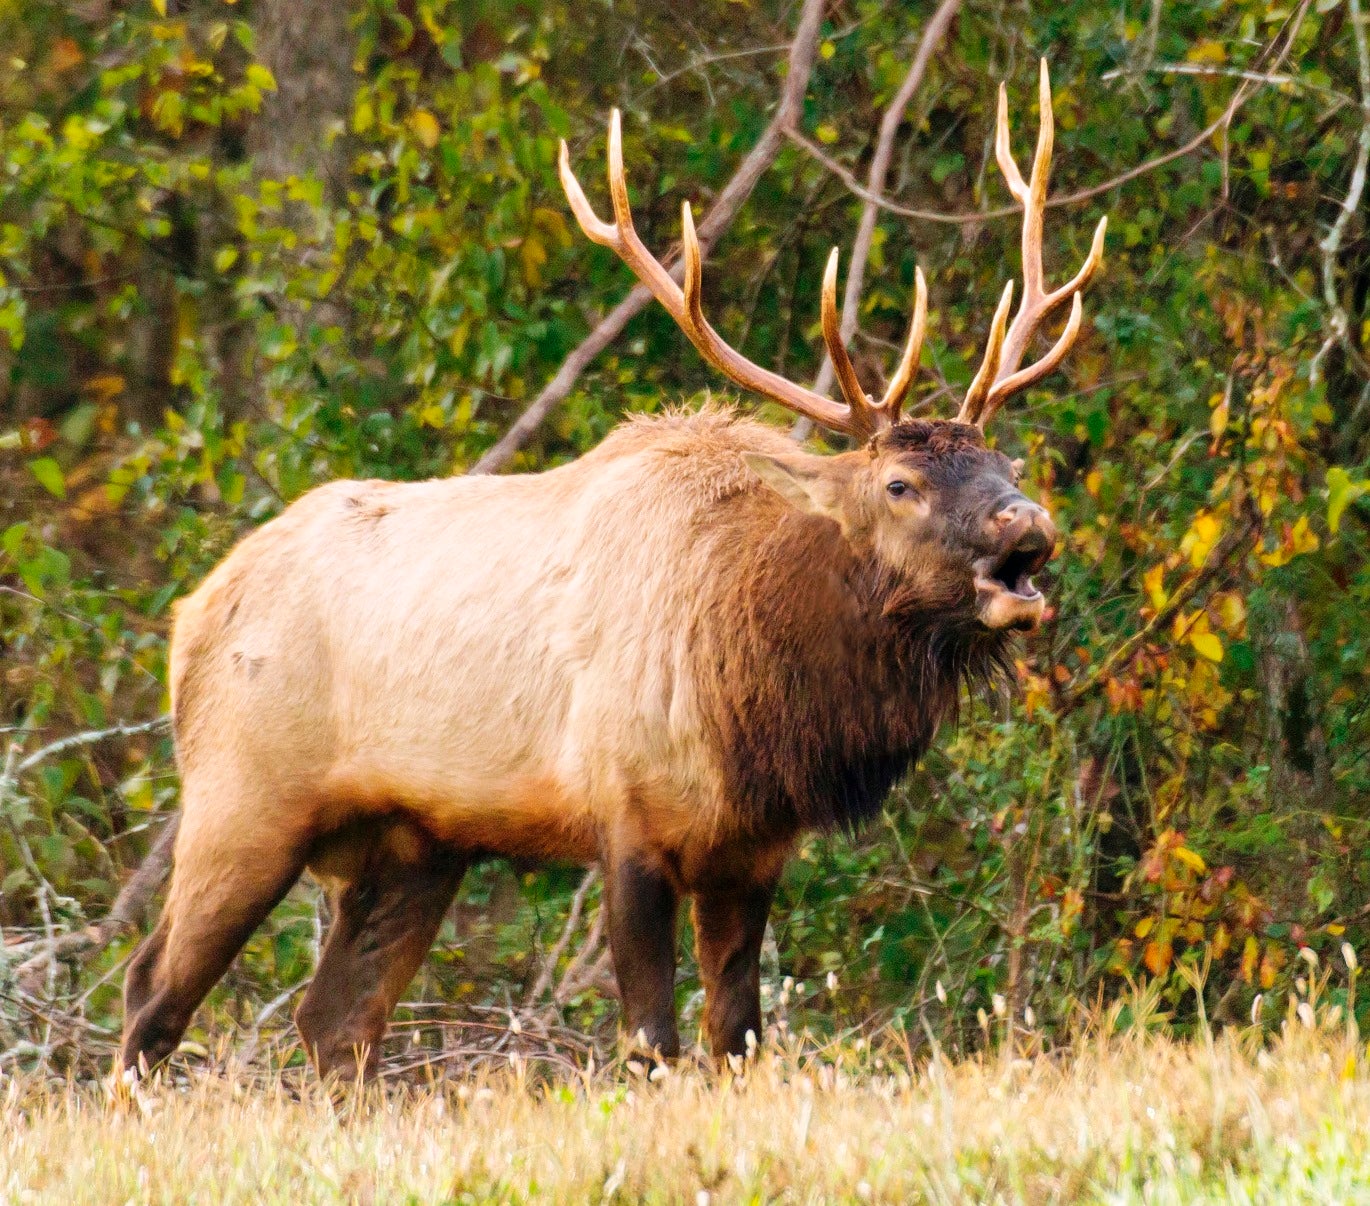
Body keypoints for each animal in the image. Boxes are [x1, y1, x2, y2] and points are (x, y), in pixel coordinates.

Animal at [121, 61, 1106, 1081]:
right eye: (900, 484)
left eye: (1007, 463)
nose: (1027, 525)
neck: (761, 702)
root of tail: (189, 617)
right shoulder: (627, 811)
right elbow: (650, 1040)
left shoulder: (754, 848)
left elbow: (736, 1034)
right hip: (243, 792)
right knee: (153, 990)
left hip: (415, 843)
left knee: (335, 1021)